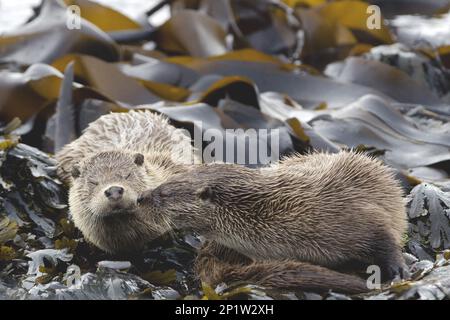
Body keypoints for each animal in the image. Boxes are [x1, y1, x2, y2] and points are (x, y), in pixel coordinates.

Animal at [139, 152, 410, 292]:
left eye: (163, 193)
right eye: (162, 183)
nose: (141, 197)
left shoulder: (357, 216)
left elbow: (385, 238)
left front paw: (398, 270)